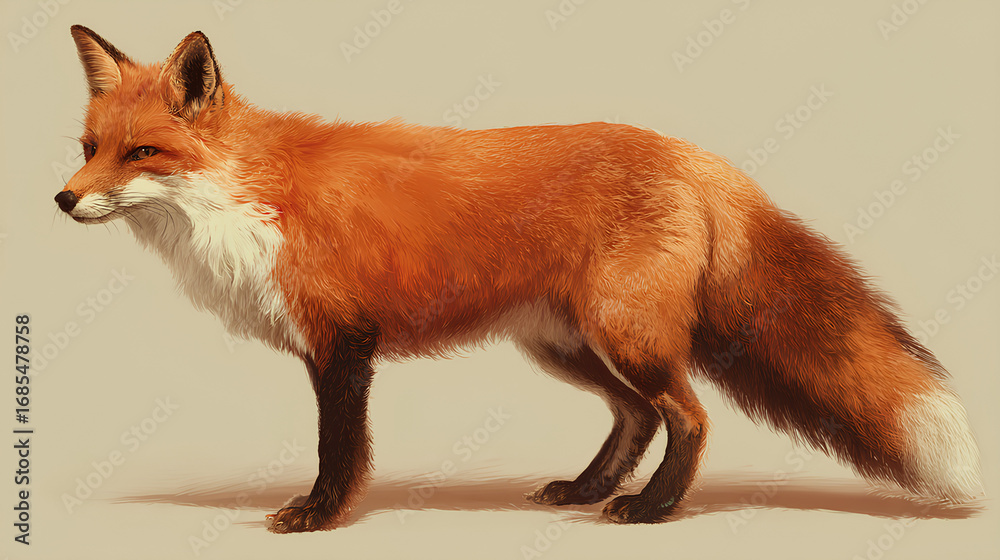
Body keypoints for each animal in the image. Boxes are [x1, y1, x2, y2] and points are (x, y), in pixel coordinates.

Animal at [57, 26, 982, 533]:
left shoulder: (342, 342)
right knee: (638, 416)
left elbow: (337, 448)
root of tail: (697, 156)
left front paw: (318, 516)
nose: (62, 200)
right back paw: (587, 488)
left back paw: (649, 510)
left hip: (624, 336)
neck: (249, 194)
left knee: (688, 416)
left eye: (142, 153)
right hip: (570, 347)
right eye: (88, 148)